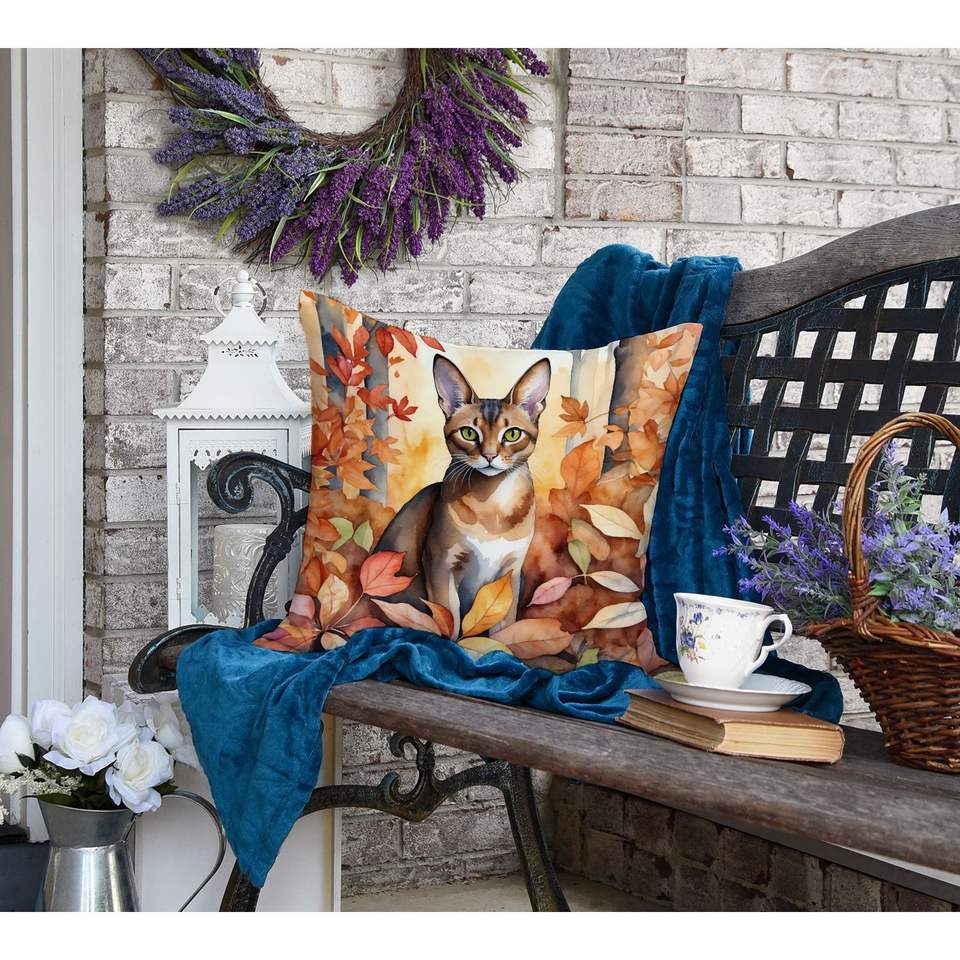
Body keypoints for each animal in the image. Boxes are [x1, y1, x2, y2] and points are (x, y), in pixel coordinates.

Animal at [376, 354, 551, 637]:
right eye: (469, 433)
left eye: (512, 434)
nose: (489, 455)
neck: (492, 506)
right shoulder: (440, 563)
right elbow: (449, 620)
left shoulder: (511, 571)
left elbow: (504, 626)